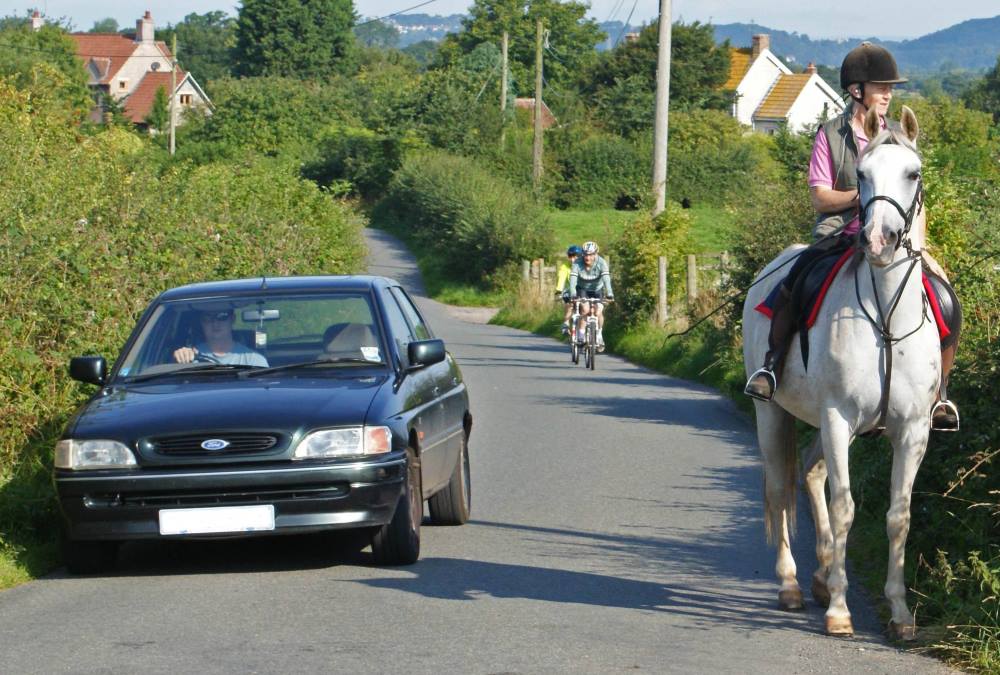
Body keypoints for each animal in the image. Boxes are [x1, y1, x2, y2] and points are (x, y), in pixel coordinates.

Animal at [748, 107, 940, 640]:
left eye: (913, 173)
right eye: (864, 175)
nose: (877, 241)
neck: (887, 320)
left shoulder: (913, 430)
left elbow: (898, 516)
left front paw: (900, 614)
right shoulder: (838, 418)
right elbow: (845, 507)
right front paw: (838, 610)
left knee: (811, 473)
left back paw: (819, 576)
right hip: (772, 413)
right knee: (781, 488)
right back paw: (793, 585)